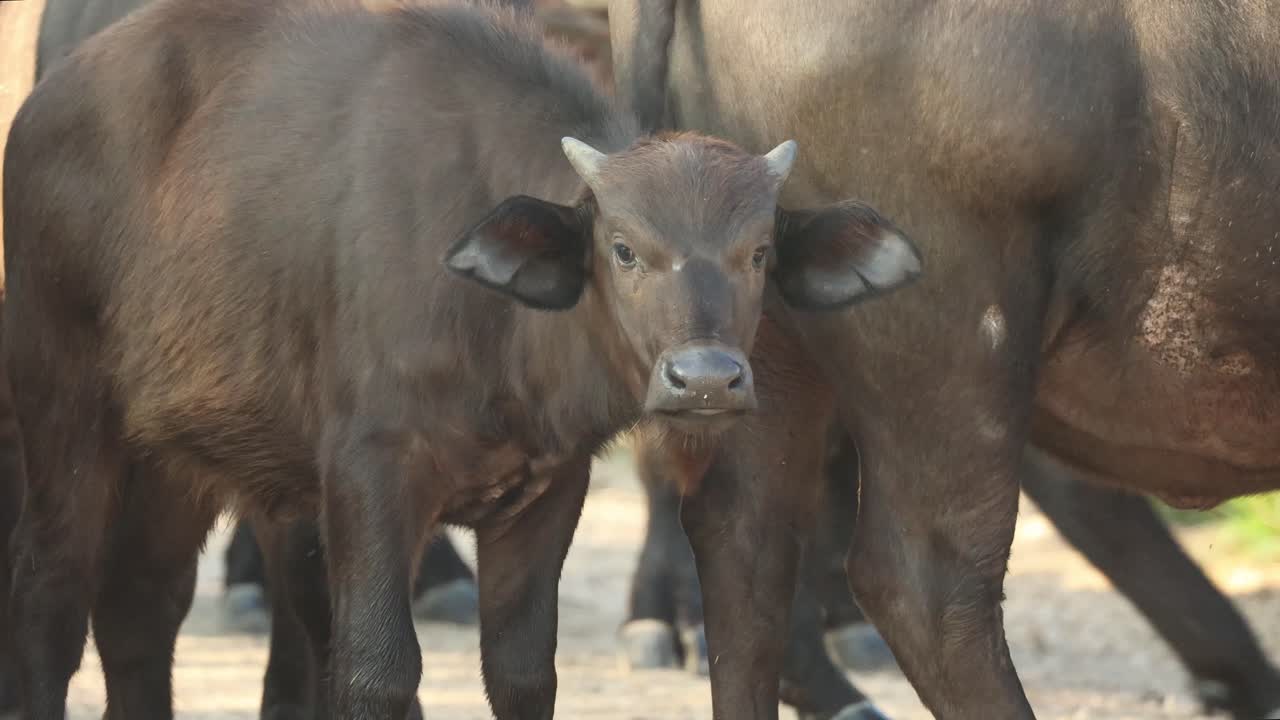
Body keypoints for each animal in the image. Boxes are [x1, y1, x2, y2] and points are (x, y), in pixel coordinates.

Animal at [1, 1, 920, 718]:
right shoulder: (369, 474)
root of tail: (48, 102)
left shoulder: (548, 490)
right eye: (623, 247)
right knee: (49, 601)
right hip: (64, 409)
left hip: (178, 448)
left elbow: (521, 672)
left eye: (760, 252)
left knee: (138, 606)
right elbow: (376, 671)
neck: (496, 324)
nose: (705, 380)